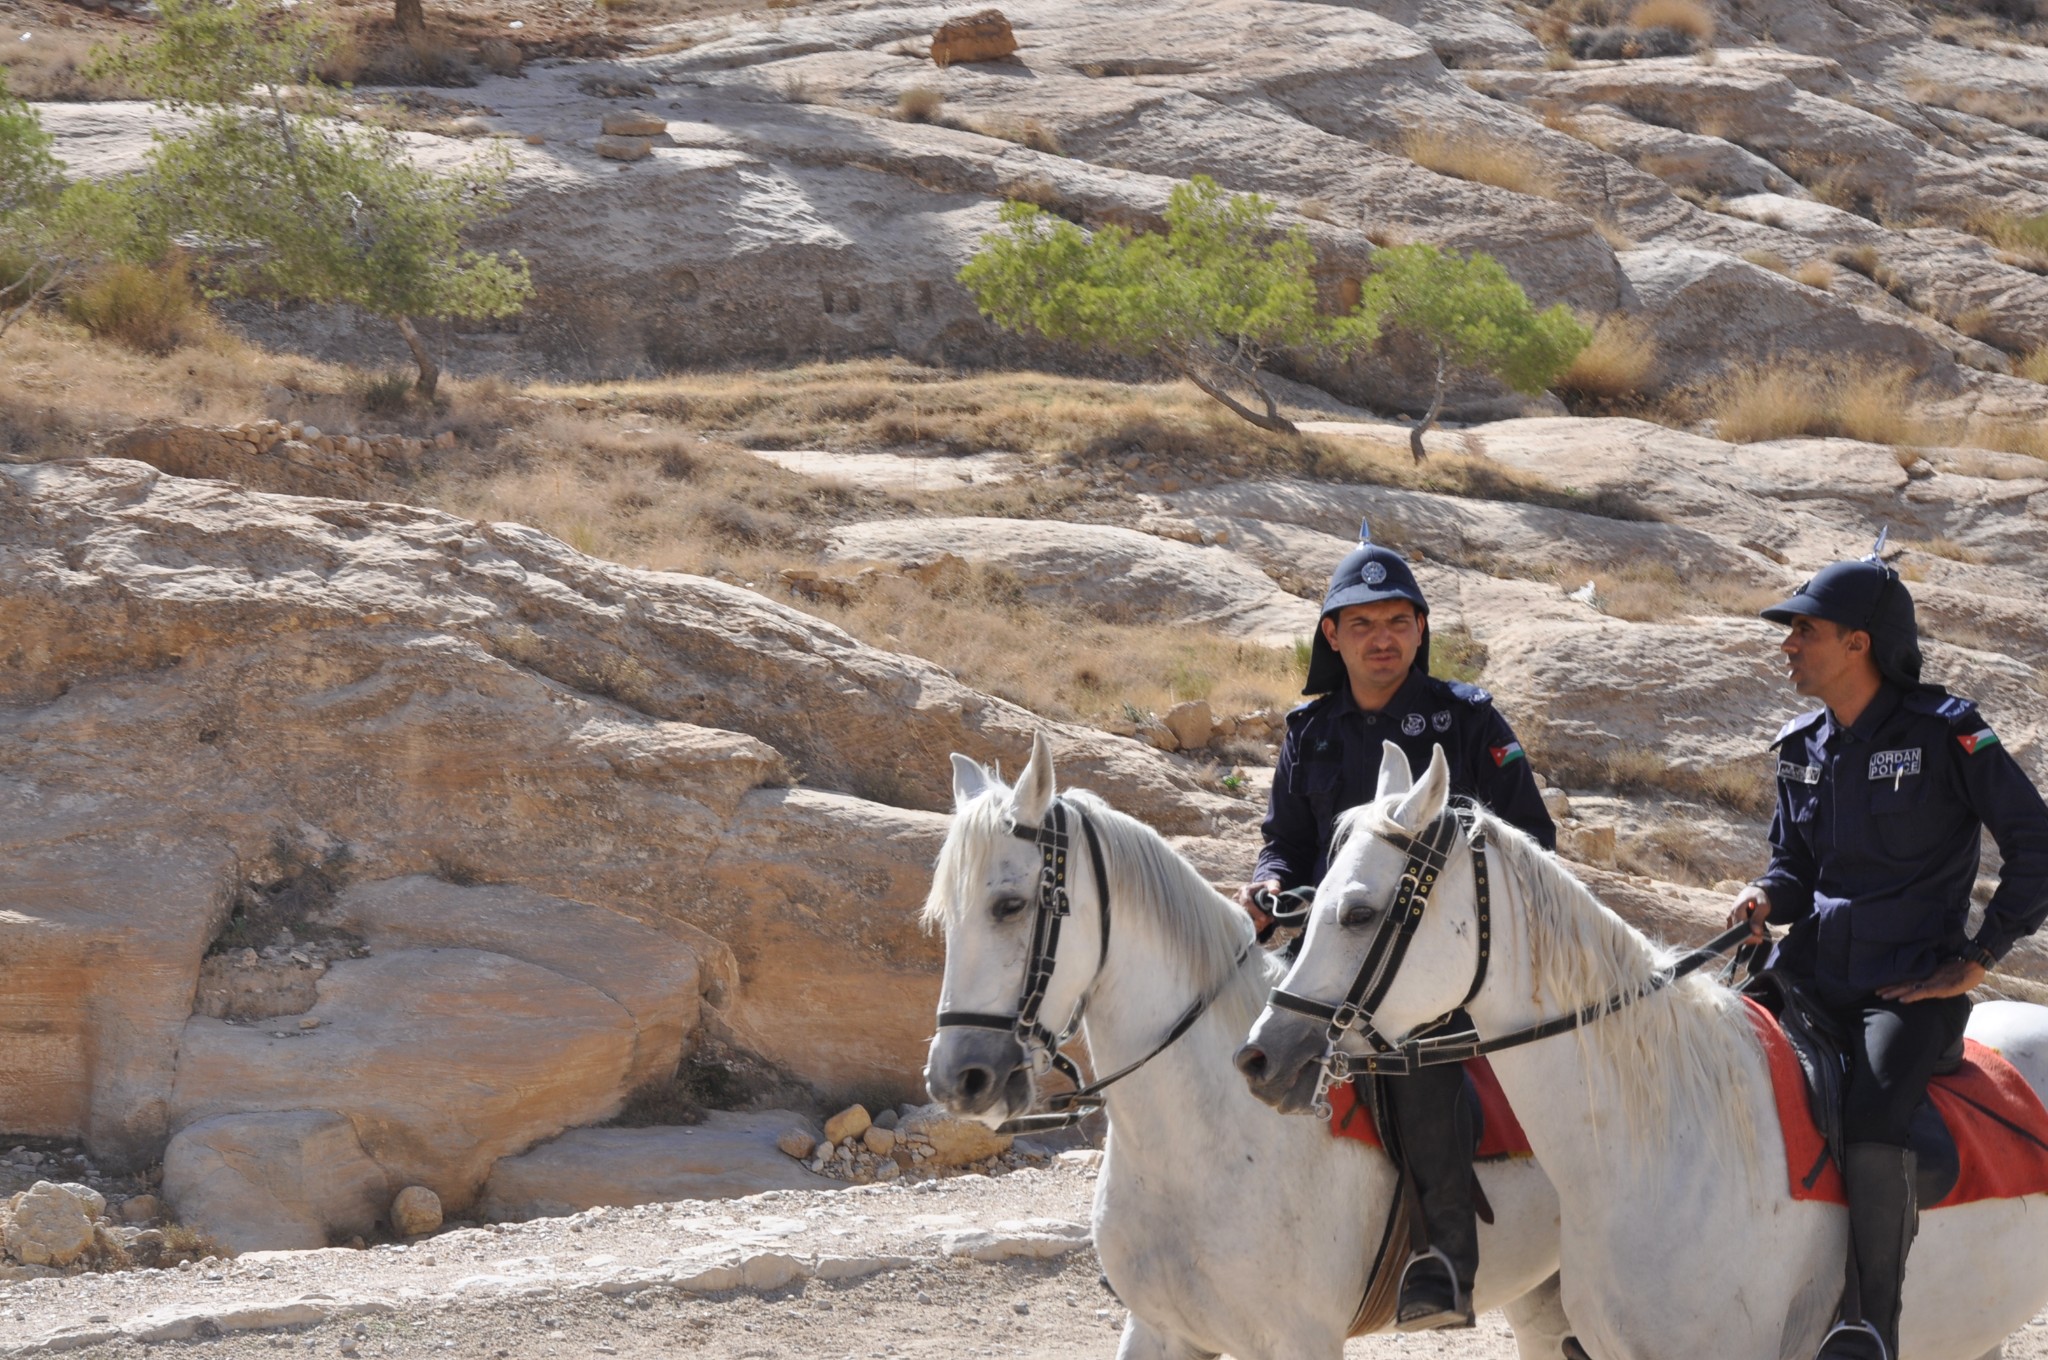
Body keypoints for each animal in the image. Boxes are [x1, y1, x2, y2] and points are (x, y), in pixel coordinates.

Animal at [921, 733, 1572, 1360]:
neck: (1203, 1144)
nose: (958, 1079)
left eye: (1009, 904)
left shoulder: (1301, 1341)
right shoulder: (1160, 1331)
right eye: (946, 916)